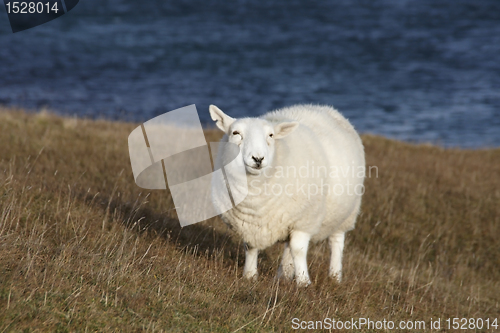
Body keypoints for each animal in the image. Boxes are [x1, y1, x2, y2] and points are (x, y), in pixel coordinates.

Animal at [209, 104, 366, 286]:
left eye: (271, 135)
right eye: (235, 133)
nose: (258, 158)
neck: (255, 200)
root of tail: (324, 108)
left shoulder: (304, 220)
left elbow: (299, 249)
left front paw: (303, 282)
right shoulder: (250, 223)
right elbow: (251, 247)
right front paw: (249, 276)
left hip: (346, 212)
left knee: (336, 242)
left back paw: (335, 276)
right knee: (288, 247)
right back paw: (283, 274)